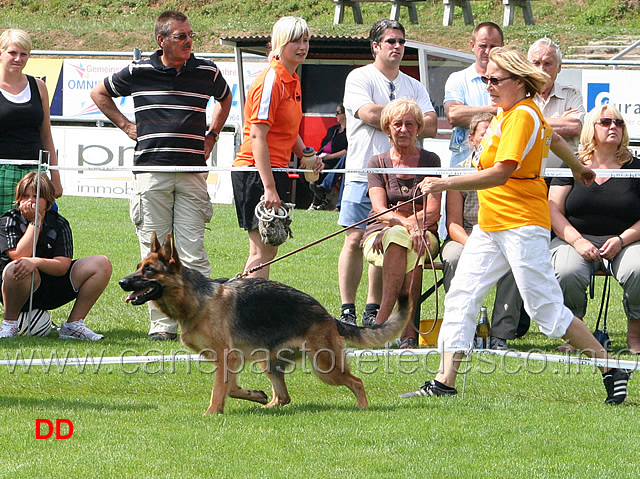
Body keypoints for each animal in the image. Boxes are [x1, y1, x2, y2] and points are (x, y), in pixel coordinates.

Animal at [120, 234, 410, 414]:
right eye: (138, 266)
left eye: (149, 271)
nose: (122, 282)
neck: (196, 300)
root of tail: (326, 314)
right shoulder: (230, 360)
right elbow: (231, 388)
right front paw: (253, 395)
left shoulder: (226, 357)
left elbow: (219, 390)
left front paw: (212, 413)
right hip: (267, 362)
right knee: (284, 397)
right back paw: (267, 405)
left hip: (325, 367)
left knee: (357, 381)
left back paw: (363, 408)